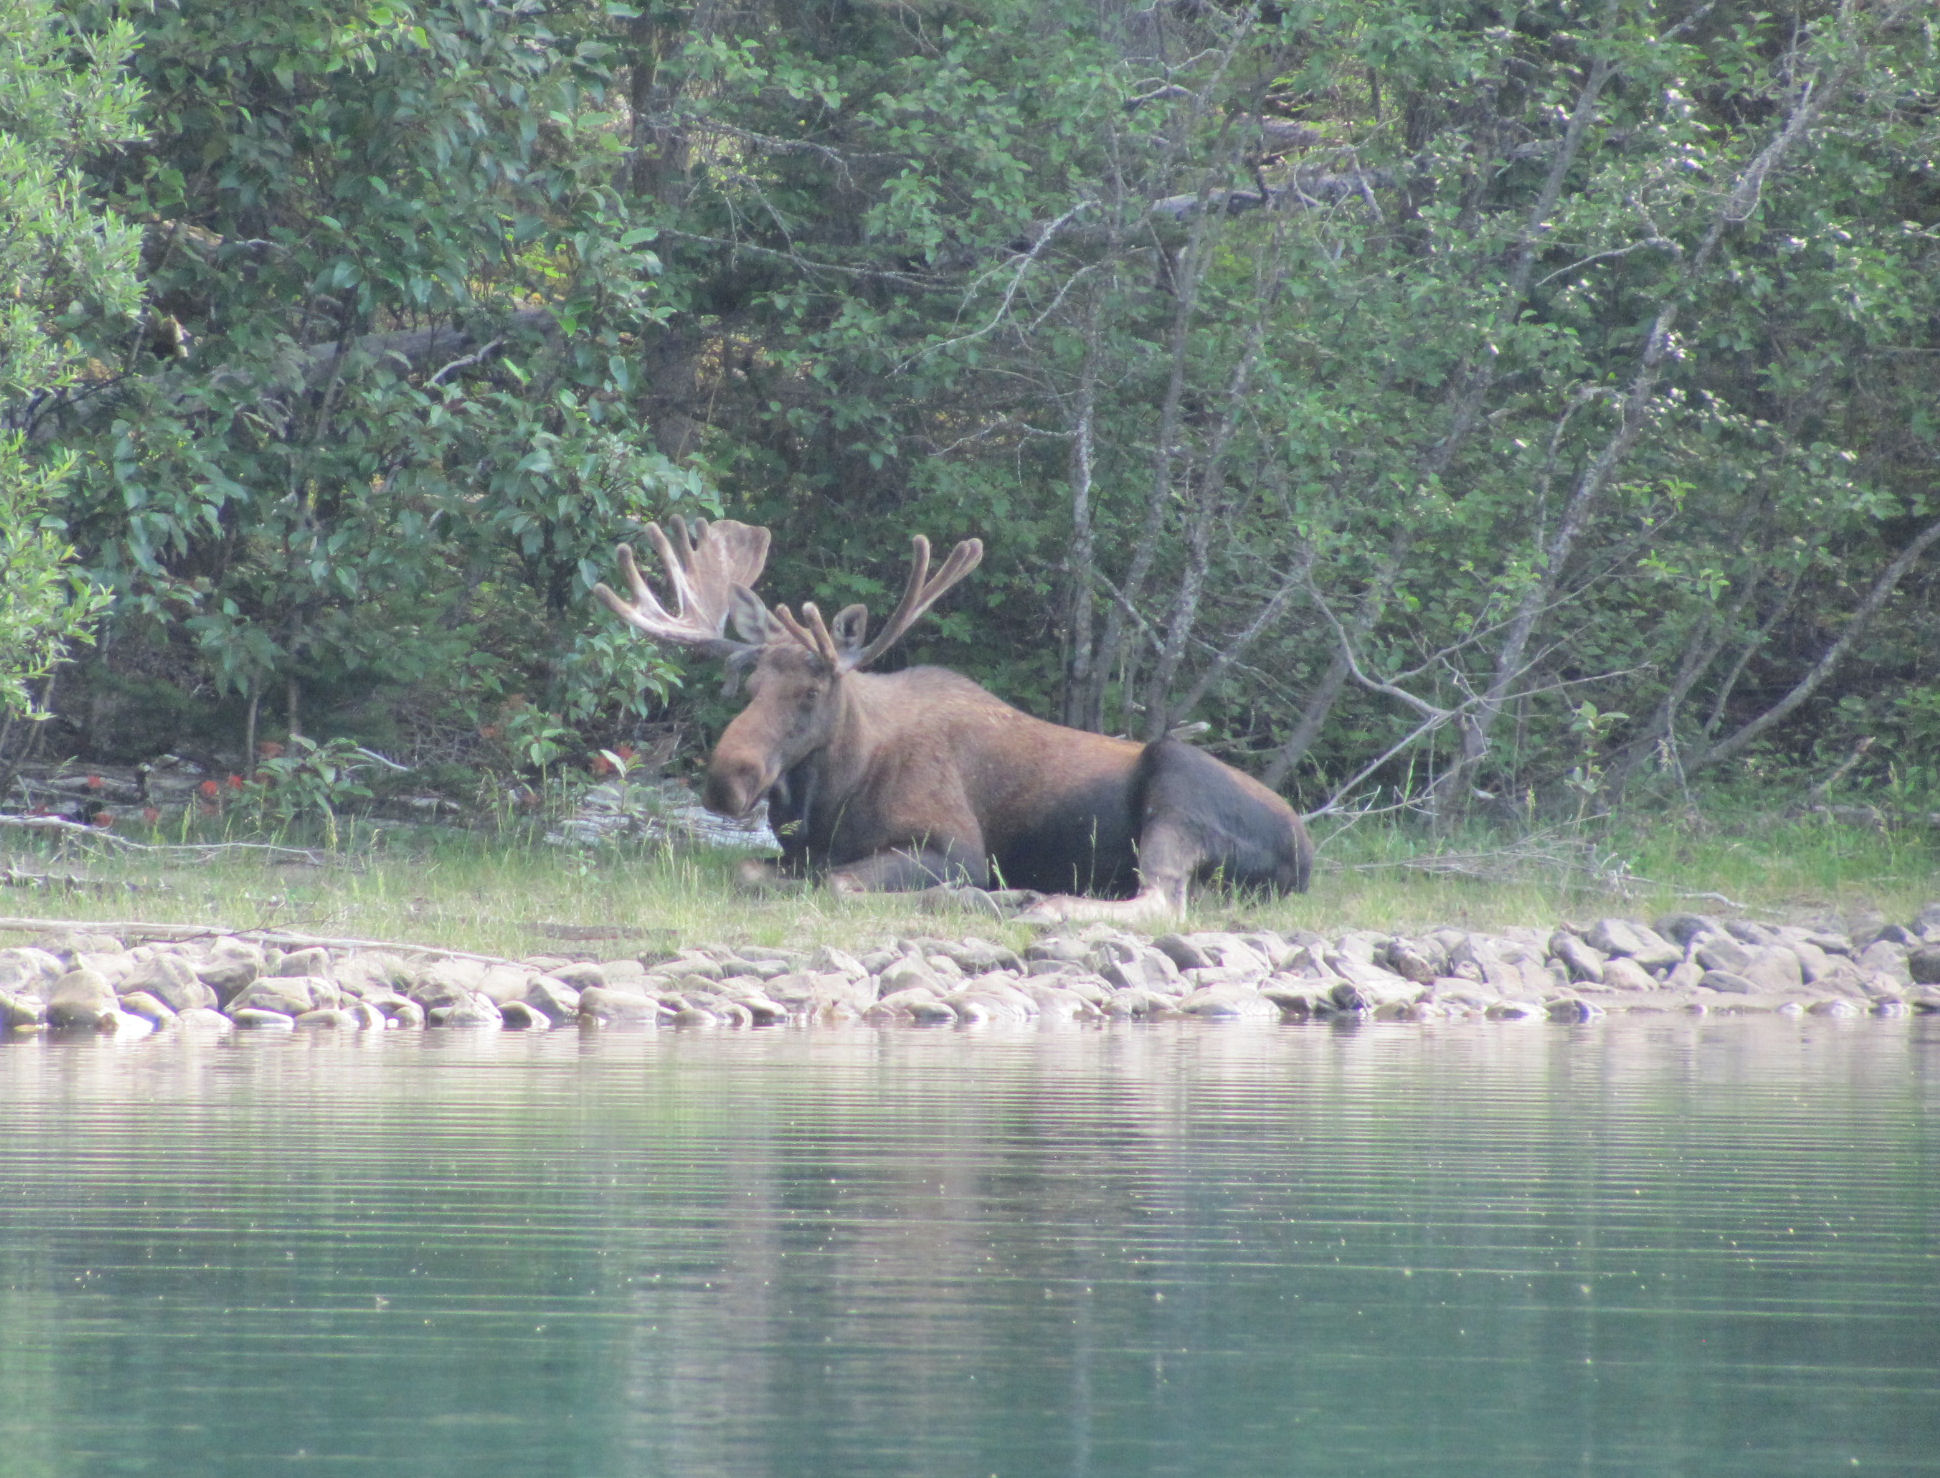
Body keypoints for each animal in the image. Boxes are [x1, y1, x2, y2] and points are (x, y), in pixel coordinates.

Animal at [592, 517, 1313, 922]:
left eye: (812, 692)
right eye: (745, 685)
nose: (727, 780)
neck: (830, 799)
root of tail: (1307, 856)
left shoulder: (953, 846)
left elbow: (844, 886)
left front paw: (991, 896)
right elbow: (754, 873)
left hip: (1176, 779)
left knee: (1164, 901)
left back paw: (1042, 904)